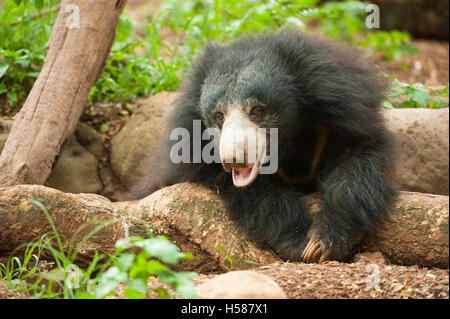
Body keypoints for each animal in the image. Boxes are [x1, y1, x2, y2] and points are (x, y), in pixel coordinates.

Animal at [127, 30, 398, 264]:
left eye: (257, 110)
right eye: (218, 116)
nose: (233, 159)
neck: (289, 143)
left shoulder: (345, 113)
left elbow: (357, 163)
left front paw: (322, 242)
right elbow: (256, 195)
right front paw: (299, 241)